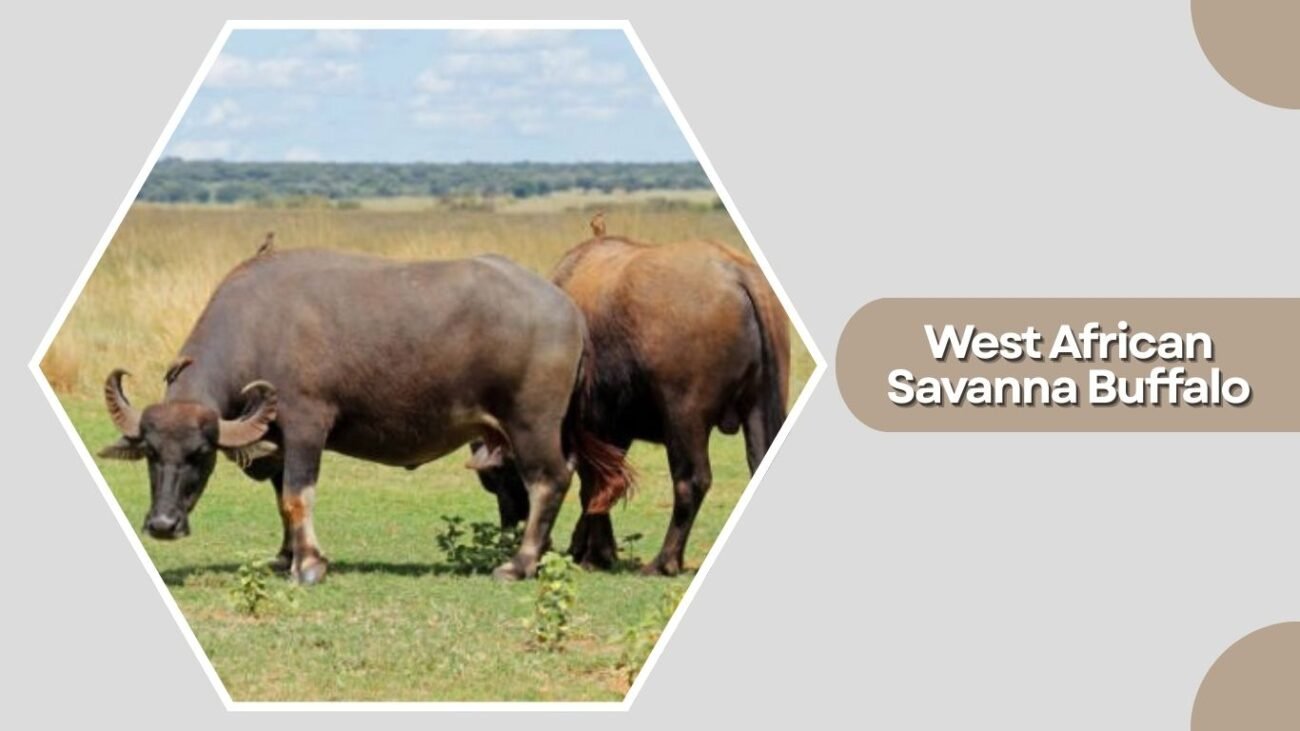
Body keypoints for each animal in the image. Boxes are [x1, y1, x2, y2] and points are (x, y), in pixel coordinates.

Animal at [99, 247, 631, 584]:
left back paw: (518, 564)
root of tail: (567, 308)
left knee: (549, 481)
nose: (163, 524)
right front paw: (285, 557)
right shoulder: (278, 437)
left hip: (530, 425)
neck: (260, 327)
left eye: (200, 454)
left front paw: (309, 566)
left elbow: (297, 496)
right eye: (152, 453)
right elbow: (281, 501)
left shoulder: (307, 425)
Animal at [474, 223, 790, 575]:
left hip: (684, 416)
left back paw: (664, 561)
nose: (511, 526)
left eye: (497, 476)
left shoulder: (592, 429)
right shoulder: (614, 432)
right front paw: (587, 548)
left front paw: (596, 553)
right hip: (758, 406)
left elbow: (594, 484)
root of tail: (737, 272)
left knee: (691, 480)